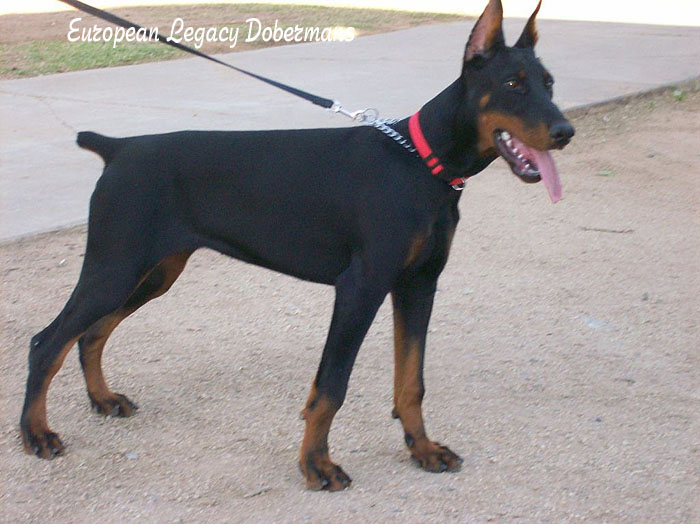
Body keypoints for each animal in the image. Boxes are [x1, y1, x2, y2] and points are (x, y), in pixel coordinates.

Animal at [19, 0, 576, 492]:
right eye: (512, 84)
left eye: (550, 83)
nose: (565, 131)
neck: (422, 162)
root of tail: (118, 148)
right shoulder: (360, 287)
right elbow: (331, 386)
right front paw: (316, 465)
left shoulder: (419, 284)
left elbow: (411, 381)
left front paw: (422, 448)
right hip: (115, 265)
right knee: (48, 341)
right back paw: (37, 433)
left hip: (154, 270)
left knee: (91, 333)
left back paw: (103, 400)